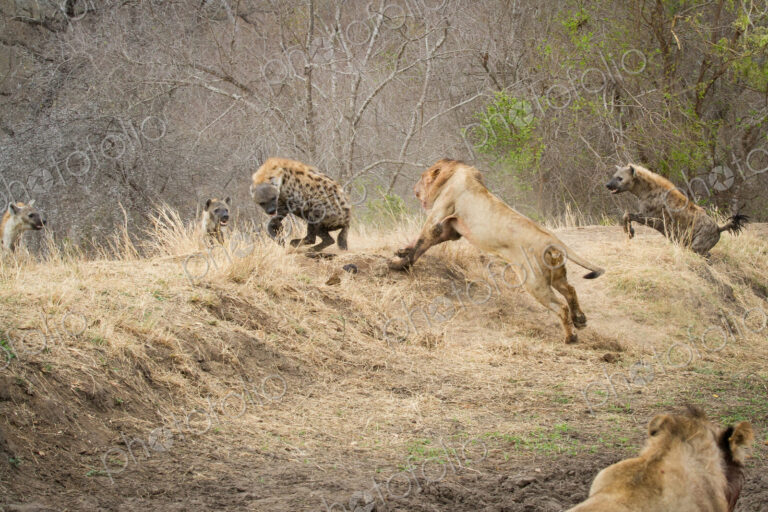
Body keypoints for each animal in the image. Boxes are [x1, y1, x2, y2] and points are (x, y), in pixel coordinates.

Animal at [389, 159, 604, 344]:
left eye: (421, 177)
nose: (414, 189)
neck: (455, 173)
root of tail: (552, 240)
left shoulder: (439, 218)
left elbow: (421, 242)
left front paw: (399, 264)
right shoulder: (451, 230)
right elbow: (420, 243)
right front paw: (401, 251)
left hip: (534, 282)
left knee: (561, 306)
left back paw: (571, 337)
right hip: (555, 275)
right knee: (570, 290)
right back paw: (580, 319)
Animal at [606, 164, 747, 257]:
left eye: (619, 178)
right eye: (613, 176)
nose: (607, 185)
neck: (645, 191)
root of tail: (718, 228)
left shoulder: (654, 218)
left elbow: (627, 214)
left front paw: (629, 232)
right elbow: (627, 214)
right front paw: (630, 232)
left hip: (699, 242)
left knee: (702, 253)